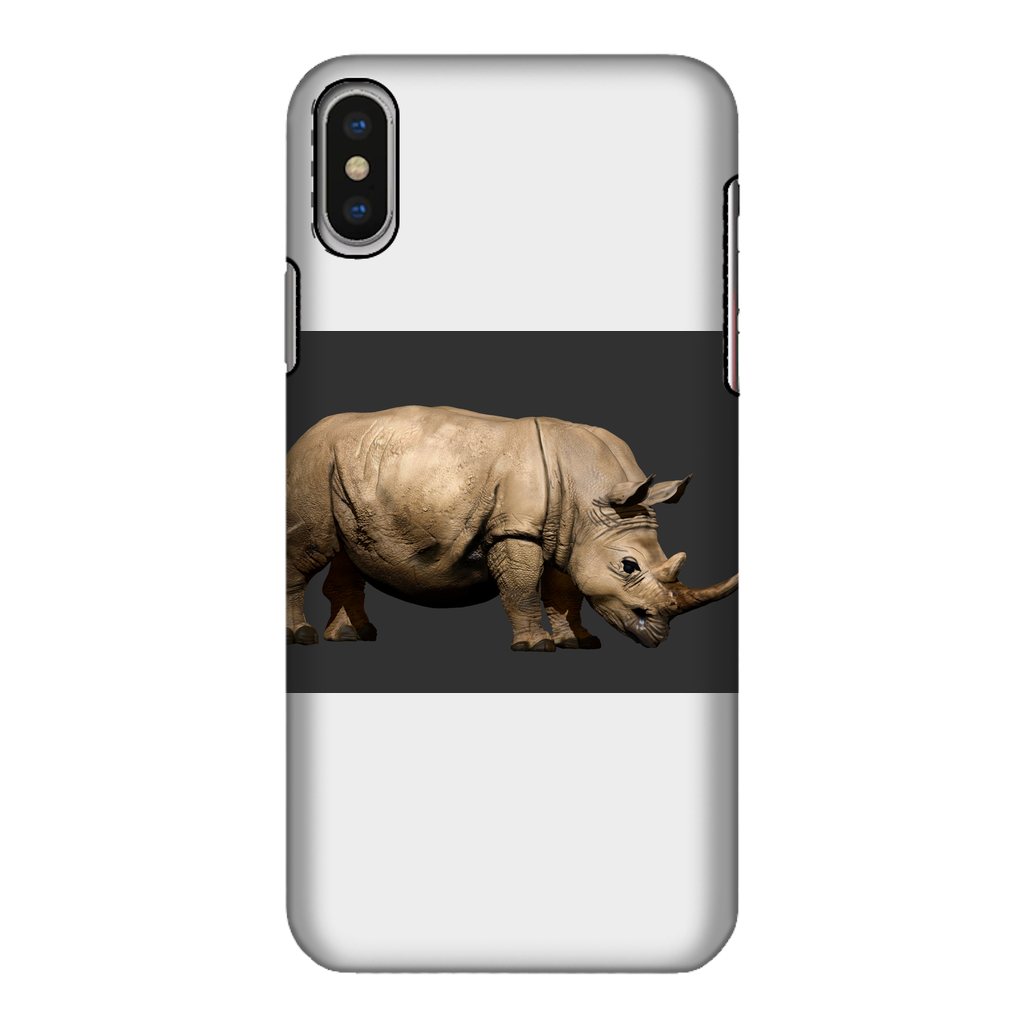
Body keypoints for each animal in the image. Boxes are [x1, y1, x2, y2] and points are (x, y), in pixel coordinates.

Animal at [286, 405, 737, 651]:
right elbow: (521, 588)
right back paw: (303, 636)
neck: (593, 496)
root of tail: (305, 435)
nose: (658, 635)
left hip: (351, 468)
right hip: (314, 461)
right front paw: (538, 645)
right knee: (311, 546)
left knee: (347, 551)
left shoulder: (566, 534)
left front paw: (579, 642)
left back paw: (355, 635)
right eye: (628, 566)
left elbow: (564, 592)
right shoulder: (516, 529)